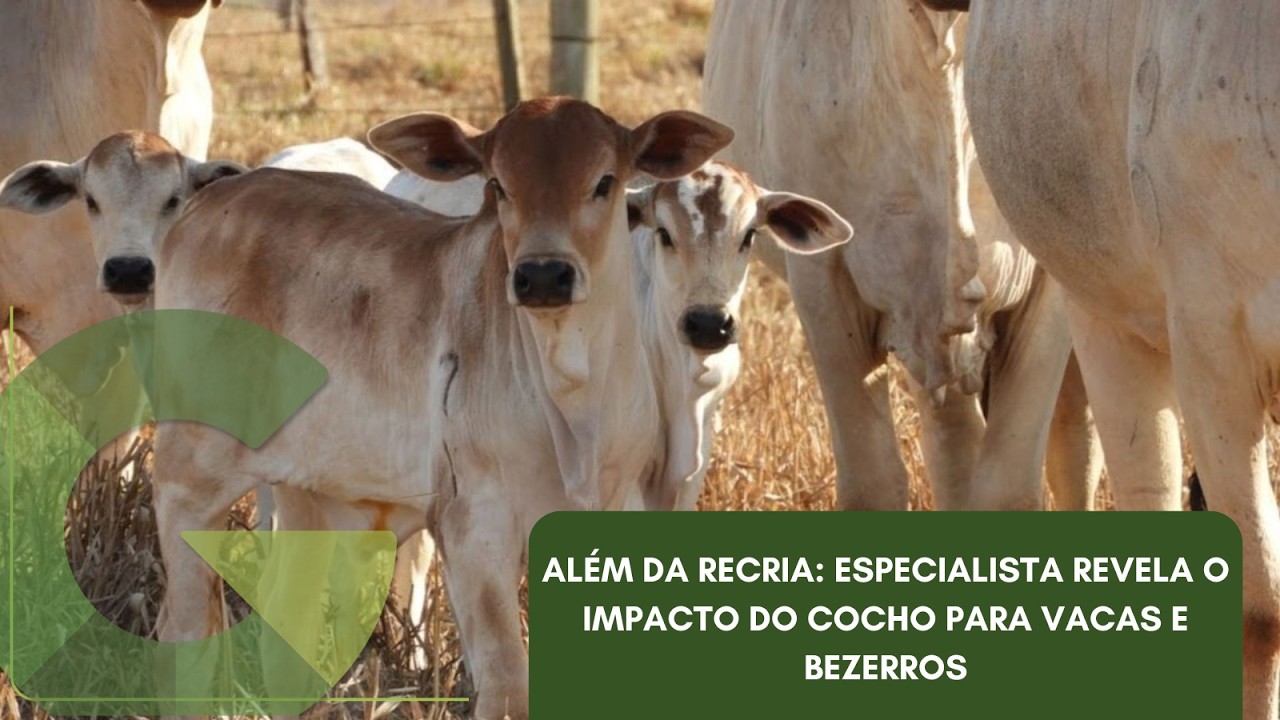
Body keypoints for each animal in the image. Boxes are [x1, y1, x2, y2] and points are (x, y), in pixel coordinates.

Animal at [149, 97, 732, 719]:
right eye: (498, 185)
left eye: (605, 182)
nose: (542, 275)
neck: (575, 401)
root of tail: (209, 204)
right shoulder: (474, 525)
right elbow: (506, 684)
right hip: (189, 476)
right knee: (184, 633)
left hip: (306, 492)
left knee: (288, 628)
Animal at [702, 0, 1101, 512]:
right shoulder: (824, 277)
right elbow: (874, 482)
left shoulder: (1050, 282)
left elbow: (1010, 487)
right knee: (954, 442)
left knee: (1073, 439)